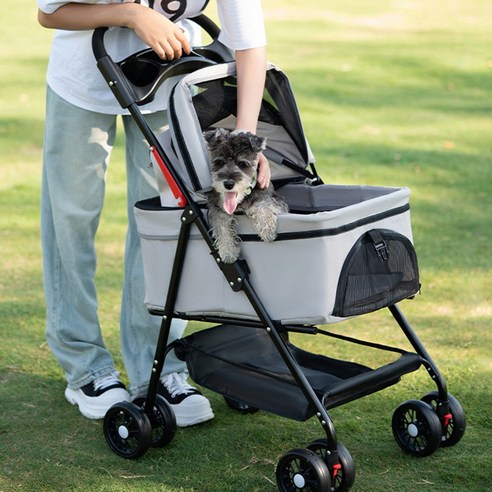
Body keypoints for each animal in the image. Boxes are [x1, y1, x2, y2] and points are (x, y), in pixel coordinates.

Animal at [203, 129, 288, 264]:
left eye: (242, 163)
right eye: (220, 162)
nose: (228, 184)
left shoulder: (274, 199)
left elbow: (263, 205)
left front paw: (267, 230)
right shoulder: (216, 208)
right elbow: (222, 226)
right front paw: (228, 251)